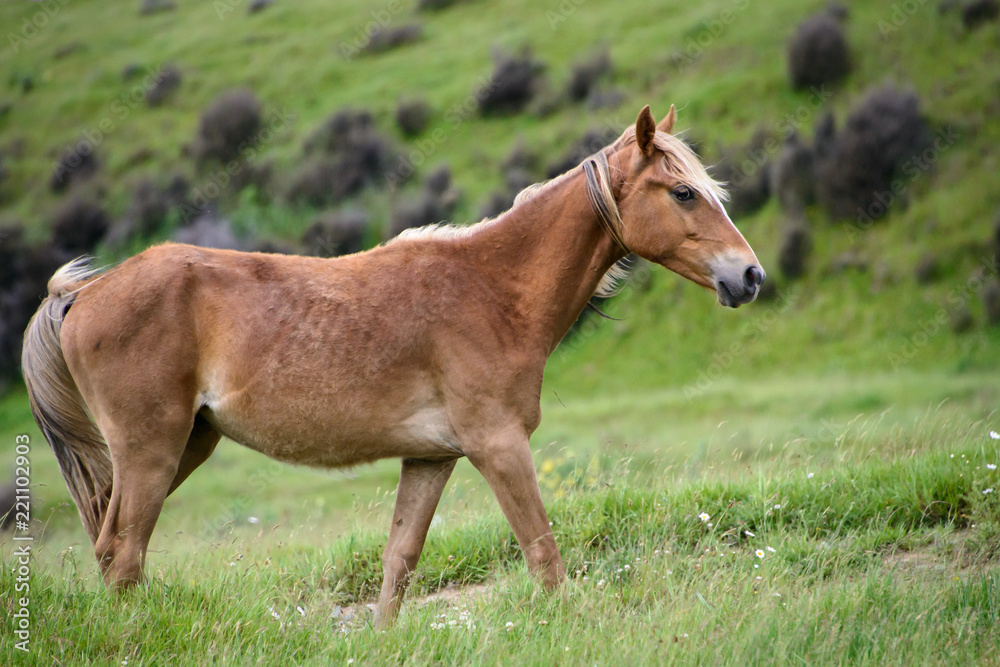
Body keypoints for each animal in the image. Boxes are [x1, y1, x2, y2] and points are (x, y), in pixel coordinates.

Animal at [21, 104, 756, 628]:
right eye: (684, 193)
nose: (750, 276)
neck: (492, 289)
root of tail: (82, 293)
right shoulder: (499, 445)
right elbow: (542, 553)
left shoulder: (432, 458)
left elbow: (399, 562)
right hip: (152, 449)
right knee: (124, 553)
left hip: (182, 446)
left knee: (111, 546)